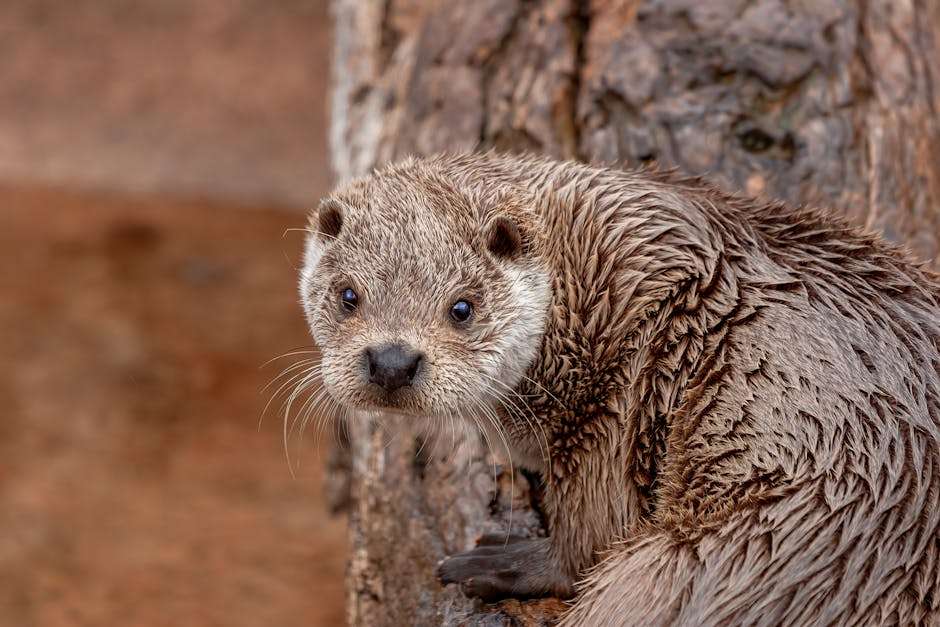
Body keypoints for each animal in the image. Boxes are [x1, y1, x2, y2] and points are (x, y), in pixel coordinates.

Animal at [299, 152, 940, 624]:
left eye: (463, 307)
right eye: (348, 295)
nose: (391, 361)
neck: (596, 282)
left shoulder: (620, 393)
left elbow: (592, 531)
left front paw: (504, 563)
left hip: (730, 564)